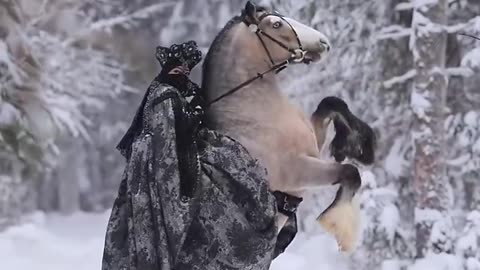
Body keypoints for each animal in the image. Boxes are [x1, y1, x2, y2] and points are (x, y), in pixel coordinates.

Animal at [201, 1, 362, 251]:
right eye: (276, 24)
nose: (324, 42)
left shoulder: (313, 144)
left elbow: (331, 103)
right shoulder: (297, 172)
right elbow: (351, 173)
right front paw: (340, 229)